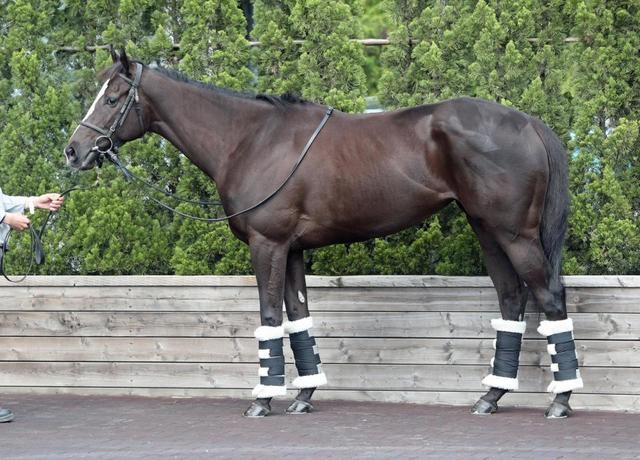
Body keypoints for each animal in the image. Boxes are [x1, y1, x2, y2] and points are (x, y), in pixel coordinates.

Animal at [65, 49, 582, 419]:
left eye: (112, 98)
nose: (74, 151)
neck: (250, 140)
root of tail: (528, 122)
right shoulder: (292, 250)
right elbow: (298, 317)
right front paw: (303, 395)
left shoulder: (268, 245)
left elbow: (270, 316)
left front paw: (263, 399)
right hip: (487, 230)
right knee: (512, 299)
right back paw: (491, 397)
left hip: (514, 234)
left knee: (549, 297)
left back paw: (560, 401)